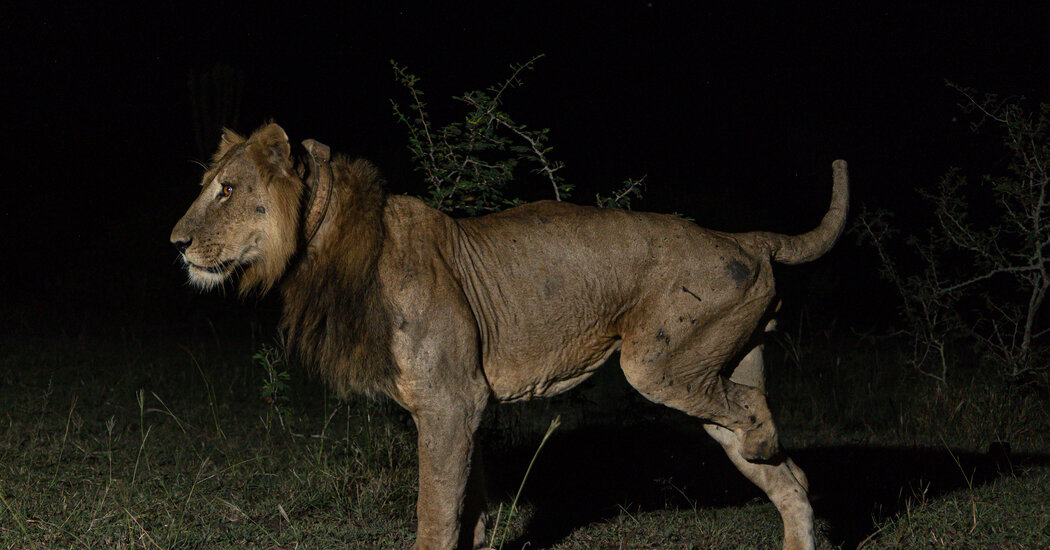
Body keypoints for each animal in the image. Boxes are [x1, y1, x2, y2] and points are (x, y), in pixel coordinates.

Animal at [170, 123, 844, 550]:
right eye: (208, 186)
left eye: (226, 190)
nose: (175, 244)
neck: (325, 246)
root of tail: (744, 238)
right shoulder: (459, 407)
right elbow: (465, 505)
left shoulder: (451, 401)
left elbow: (435, 514)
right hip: (713, 371)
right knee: (791, 481)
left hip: (659, 364)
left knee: (756, 417)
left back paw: (763, 440)